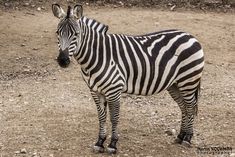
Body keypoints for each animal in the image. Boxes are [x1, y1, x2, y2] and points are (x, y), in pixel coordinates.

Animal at [51, 3, 204, 155]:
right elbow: (101, 116)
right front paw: (100, 142)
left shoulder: (114, 90)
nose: (63, 61)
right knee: (183, 107)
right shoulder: (95, 91)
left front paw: (112, 144)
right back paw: (180, 136)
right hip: (174, 84)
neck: (99, 56)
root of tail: (190, 36)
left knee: (190, 107)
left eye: (76, 34)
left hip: (188, 81)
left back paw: (187, 138)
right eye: (57, 33)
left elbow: (114, 117)